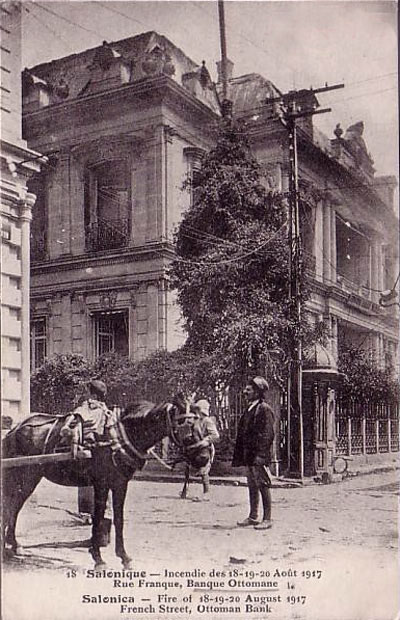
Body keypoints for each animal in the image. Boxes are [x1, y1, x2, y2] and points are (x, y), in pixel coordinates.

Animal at [1, 400, 188, 568]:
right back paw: (6, 549)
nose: (196, 457)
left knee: (14, 507)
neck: (117, 436)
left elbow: (118, 519)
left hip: (28, 478)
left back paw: (14, 545)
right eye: (185, 422)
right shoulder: (101, 484)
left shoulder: (120, 484)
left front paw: (123, 557)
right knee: (9, 506)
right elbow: (97, 519)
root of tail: (14, 430)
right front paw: (98, 557)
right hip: (22, 476)